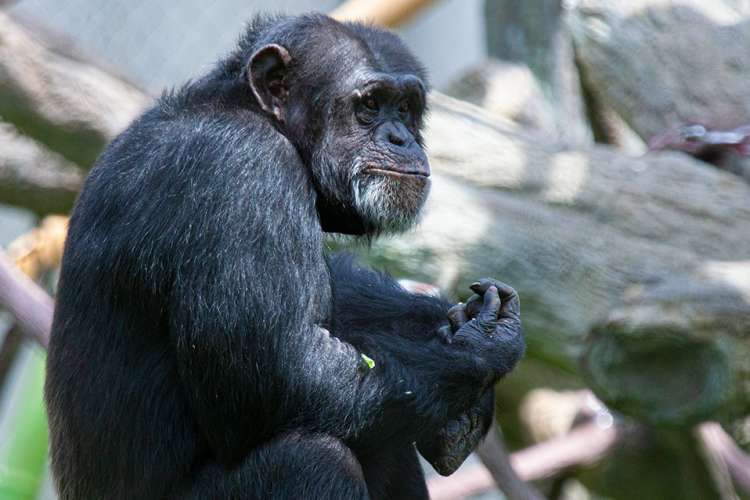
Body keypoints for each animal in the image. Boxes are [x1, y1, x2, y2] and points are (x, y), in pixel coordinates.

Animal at [44, 13, 524, 498]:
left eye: (405, 107)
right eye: (371, 104)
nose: (401, 137)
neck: (251, 113)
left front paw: (450, 318)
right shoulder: (245, 170)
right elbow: (283, 372)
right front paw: (482, 343)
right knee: (312, 456)